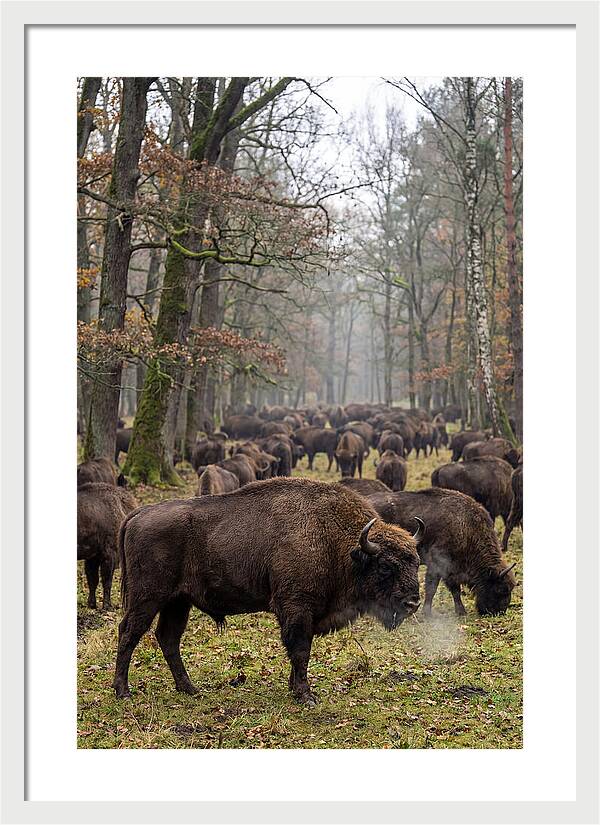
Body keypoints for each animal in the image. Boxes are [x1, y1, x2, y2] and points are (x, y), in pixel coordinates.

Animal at [113, 478, 422, 705]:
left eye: (416, 562)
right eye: (386, 566)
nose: (413, 603)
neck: (341, 545)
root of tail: (137, 514)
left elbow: (299, 652)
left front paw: (294, 689)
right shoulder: (297, 608)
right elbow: (300, 650)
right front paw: (306, 696)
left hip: (178, 602)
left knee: (168, 638)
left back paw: (190, 689)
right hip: (148, 598)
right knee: (129, 632)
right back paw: (123, 692)